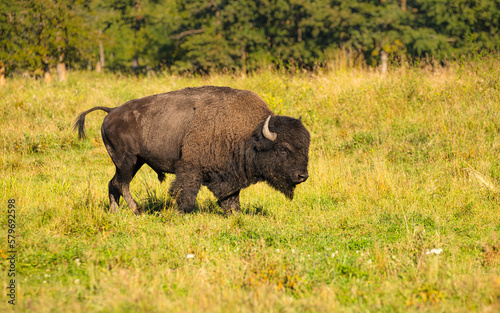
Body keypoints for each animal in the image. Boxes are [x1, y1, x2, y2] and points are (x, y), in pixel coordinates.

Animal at [75, 84, 308, 212]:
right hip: (127, 161)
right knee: (121, 184)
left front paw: (234, 213)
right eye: (283, 149)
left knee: (113, 184)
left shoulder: (229, 174)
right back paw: (136, 209)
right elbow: (185, 192)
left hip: (134, 162)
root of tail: (112, 111)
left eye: (305, 147)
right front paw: (182, 212)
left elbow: (231, 198)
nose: (302, 175)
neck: (250, 133)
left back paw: (116, 211)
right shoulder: (191, 168)